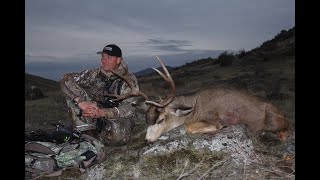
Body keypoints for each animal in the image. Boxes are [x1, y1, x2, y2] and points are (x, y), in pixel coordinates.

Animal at [144, 57, 292, 143]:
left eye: (160, 119)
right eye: (146, 120)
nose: (147, 140)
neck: (196, 106)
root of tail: (284, 115)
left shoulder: (213, 118)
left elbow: (188, 128)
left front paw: (221, 127)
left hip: (273, 120)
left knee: (285, 131)